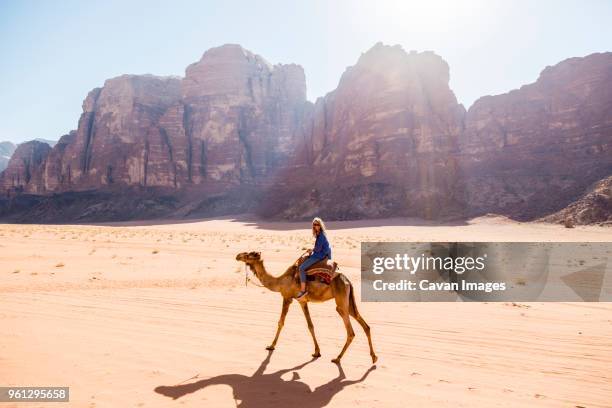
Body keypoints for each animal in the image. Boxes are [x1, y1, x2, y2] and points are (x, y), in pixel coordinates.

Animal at [235, 252, 376, 364]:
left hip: (341, 302)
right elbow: (310, 325)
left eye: (248, 255)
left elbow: (281, 322)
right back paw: (374, 357)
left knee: (350, 331)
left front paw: (271, 345)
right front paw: (317, 352)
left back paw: (337, 358)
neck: (279, 282)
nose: (237, 256)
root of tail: (348, 281)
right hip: (349, 301)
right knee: (365, 325)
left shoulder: (287, 297)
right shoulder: (302, 301)